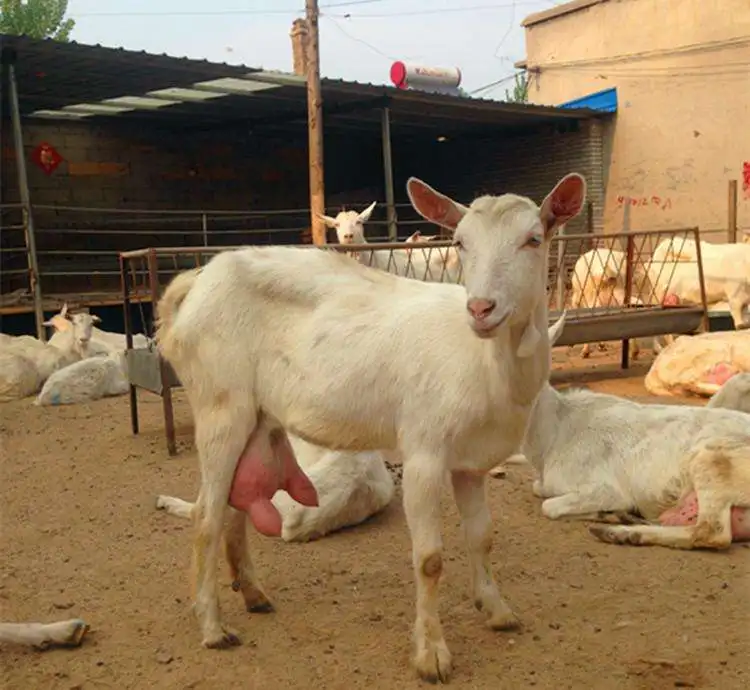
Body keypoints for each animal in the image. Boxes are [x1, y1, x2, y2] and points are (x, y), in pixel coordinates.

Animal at [523, 312, 750, 549]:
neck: (553, 437)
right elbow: (538, 488)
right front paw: (615, 514)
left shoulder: (606, 488)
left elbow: (549, 506)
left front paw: (615, 513)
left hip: (713, 459)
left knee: (713, 532)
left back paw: (619, 532)